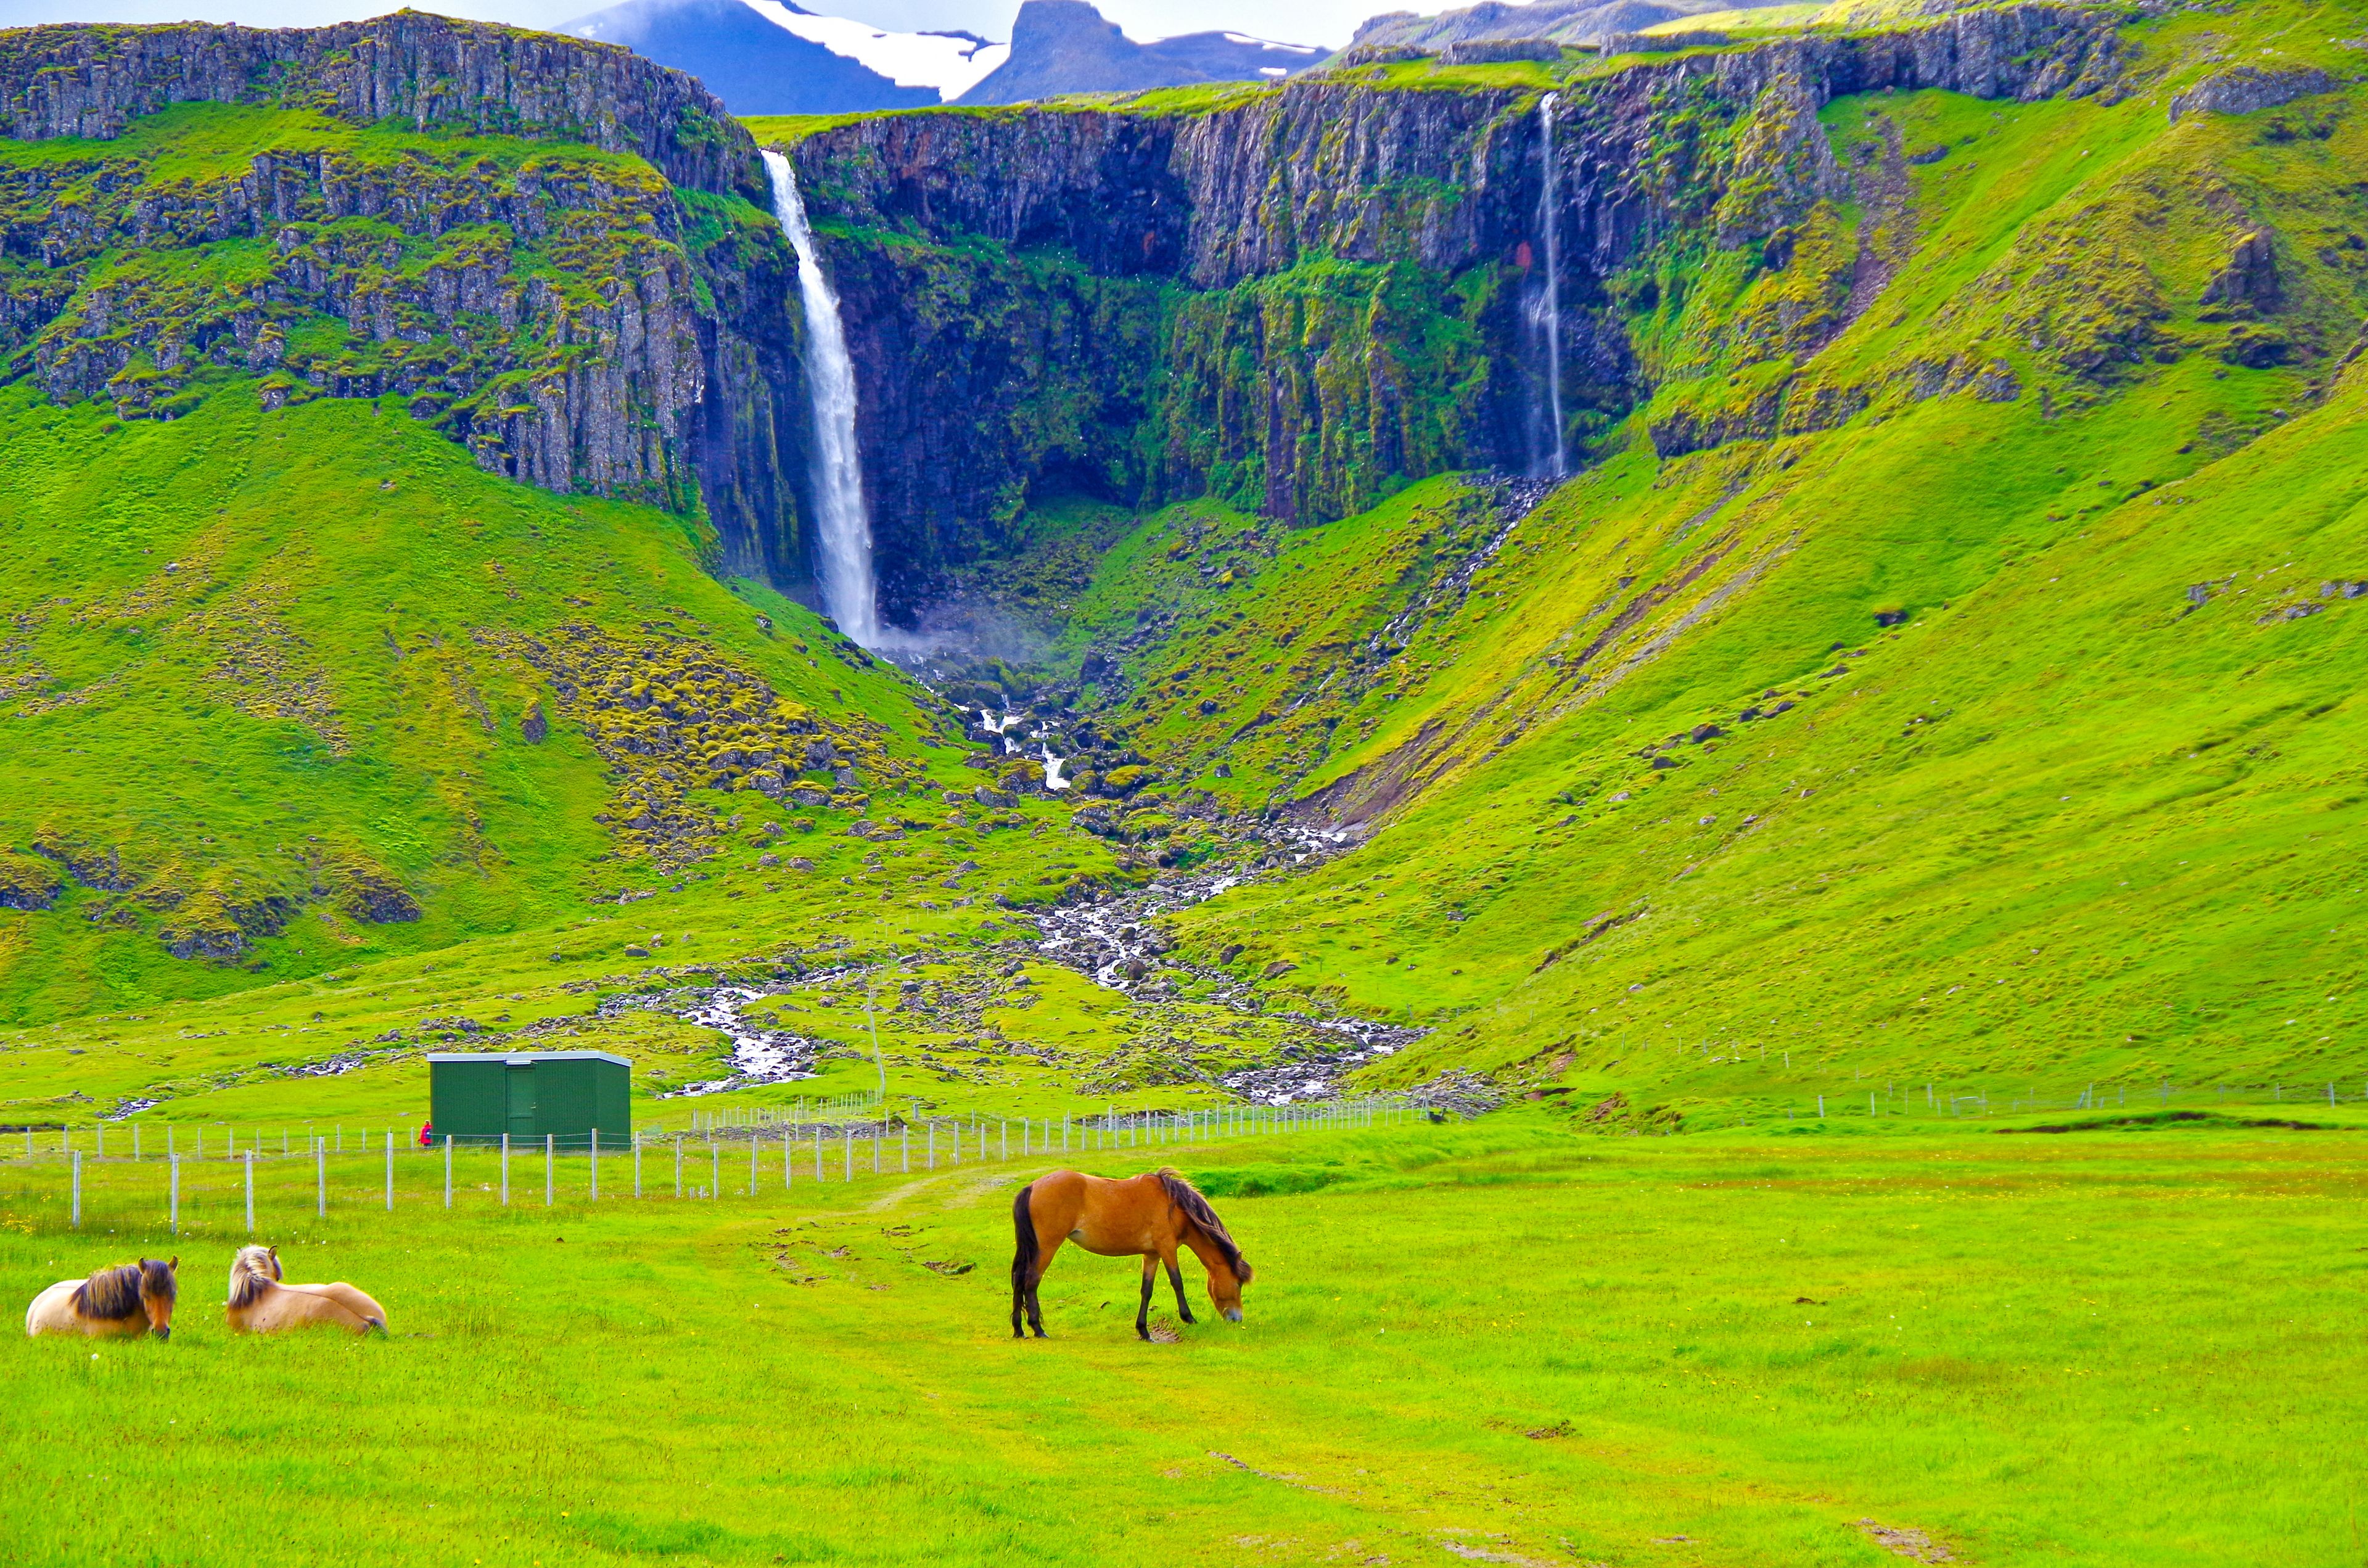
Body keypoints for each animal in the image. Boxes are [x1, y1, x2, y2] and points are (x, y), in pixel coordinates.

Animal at [1008, 1175, 1250, 1345]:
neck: (1174, 1206)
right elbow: (1177, 1282)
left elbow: (1147, 1291)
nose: (1237, 1319)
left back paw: (1019, 1329)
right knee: (1031, 1281)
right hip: (1047, 1247)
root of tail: (1032, 1187)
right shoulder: (1167, 1249)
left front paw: (1144, 1331)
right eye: (1238, 1284)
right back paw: (1038, 1329)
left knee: (1020, 1280)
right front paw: (1188, 1318)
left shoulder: (1152, 1255)